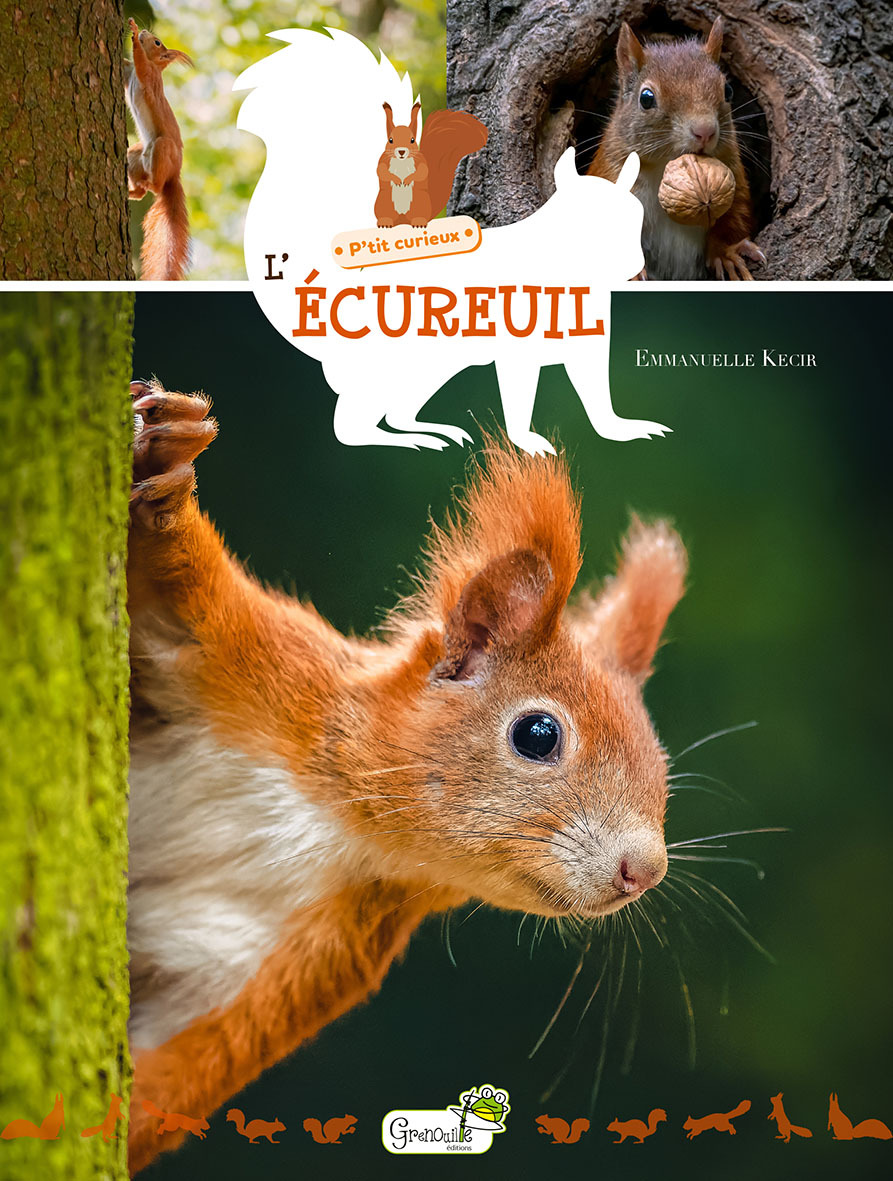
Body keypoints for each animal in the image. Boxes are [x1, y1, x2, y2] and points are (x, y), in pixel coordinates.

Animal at [124, 19, 192, 281]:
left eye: (157, 42)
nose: (145, 31)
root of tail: (174, 175)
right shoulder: (129, 75)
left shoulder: (147, 74)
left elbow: (140, 61)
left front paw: (133, 34)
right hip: (135, 156)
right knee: (142, 191)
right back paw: (131, 191)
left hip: (162, 147)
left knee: (156, 187)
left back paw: (151, 185)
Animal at [124, 379, 686, 1175]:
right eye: (538, 735)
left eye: (662, 766)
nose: (645, 868)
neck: (335, 821)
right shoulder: (251, 664)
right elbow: (179, 586)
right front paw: (168, 468)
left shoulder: (302, 955)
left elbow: (179, 1064)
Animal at [588, 18, 764, 281]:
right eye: (646, 98)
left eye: (728, 91)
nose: (705, 131)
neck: (663, 166)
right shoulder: (610, 174)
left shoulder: (734, 176)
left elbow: (734, 219)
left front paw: (726, 254)